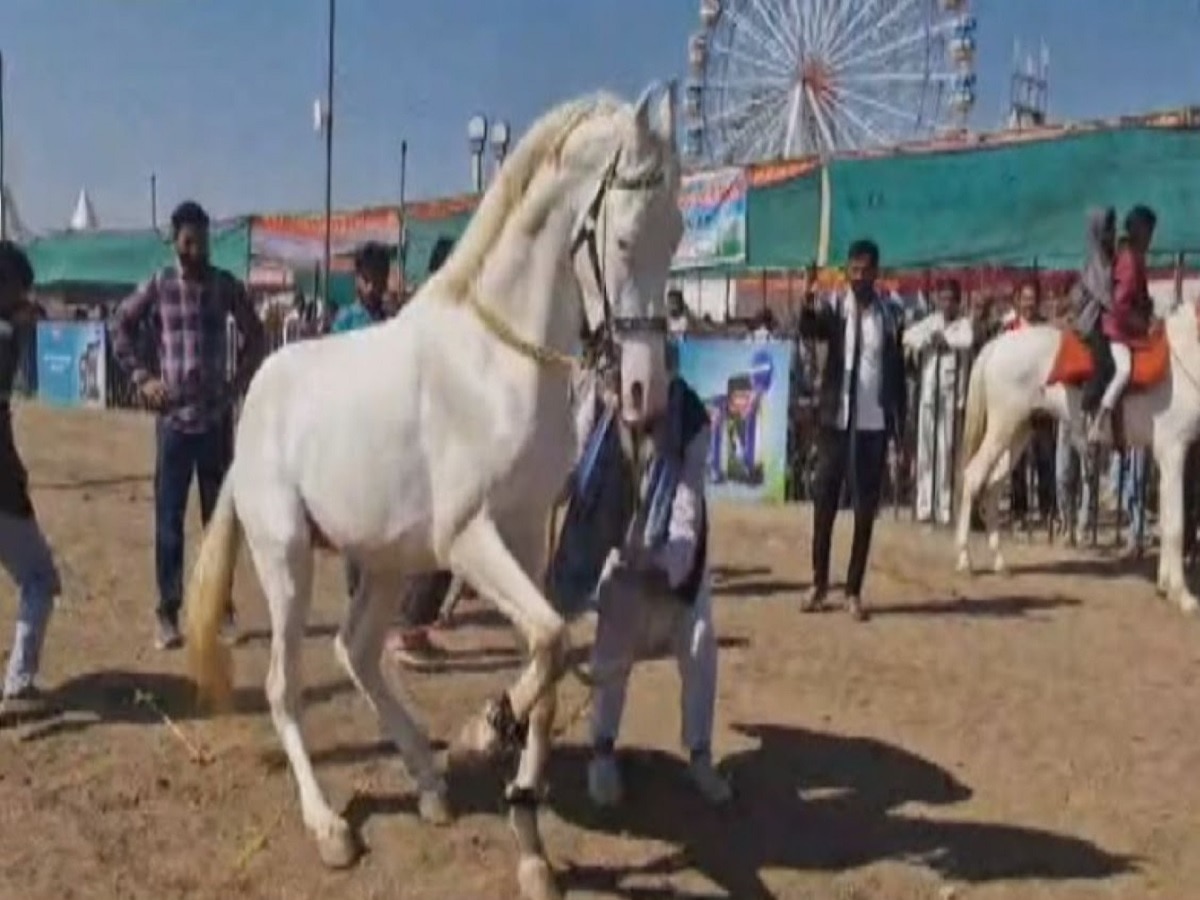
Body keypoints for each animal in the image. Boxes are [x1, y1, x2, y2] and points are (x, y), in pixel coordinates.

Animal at [181, 86, 681, 900]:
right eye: (628, 236)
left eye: (679, 233)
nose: (647, 395)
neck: (498, 361)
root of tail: (253, 395)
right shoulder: (467, 537)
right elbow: (552, 640)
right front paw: (482, 737)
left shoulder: (524, 533)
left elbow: (551, 653)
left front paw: (530, 841)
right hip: (288, 556)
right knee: (286, 684)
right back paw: (330, 826)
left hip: (385, 560)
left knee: (355, 652)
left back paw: (429, 783)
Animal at [955, 307, 1200, 619]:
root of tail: (998, 345)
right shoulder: (1173, 451)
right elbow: (1176, 526)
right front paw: (1183, 596)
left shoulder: (1168, 459)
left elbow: (1169, 522)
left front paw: (1166, 586)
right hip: (1002, 427)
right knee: (974, 477)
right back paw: (964, 559)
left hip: (1019, 431)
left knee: (994, 485)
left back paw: (999, 561)